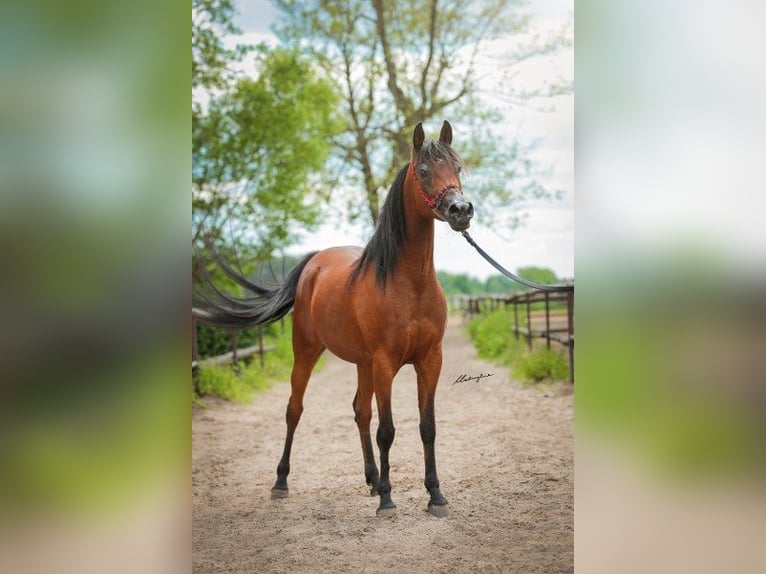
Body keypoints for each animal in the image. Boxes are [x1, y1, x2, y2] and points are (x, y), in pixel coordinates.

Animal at [195, 121, 474, 516]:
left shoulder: (430, 360)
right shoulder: (385, 363)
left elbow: (427, 426)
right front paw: (388, 500)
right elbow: (387, 430)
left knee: (360, 411)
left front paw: (434, 495)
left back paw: (372, 479)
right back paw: (281, 482)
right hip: (307, 353)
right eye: (423, 170)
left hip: (362, 363)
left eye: (458, 168)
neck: (409, 283)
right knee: (295, 410)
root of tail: (315, 261)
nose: (461, 210)